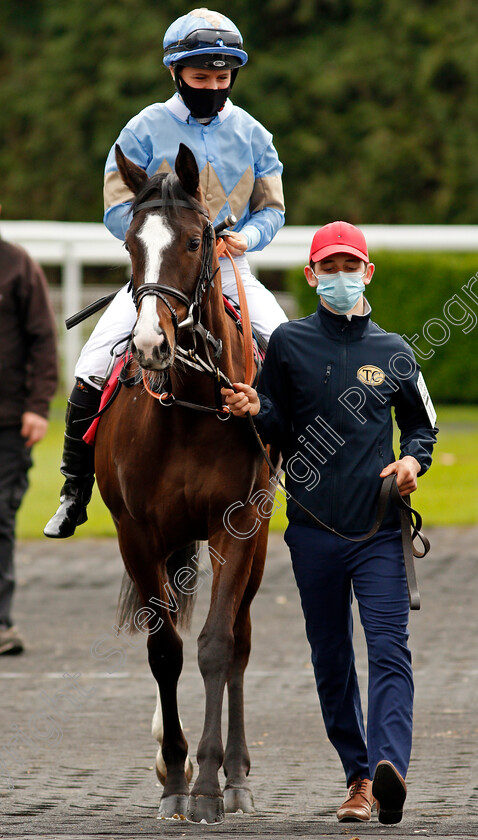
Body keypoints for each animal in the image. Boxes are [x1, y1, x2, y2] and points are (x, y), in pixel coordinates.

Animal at [94, 143, 272, 820]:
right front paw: (175, 773)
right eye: (130, 243)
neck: (194, 407)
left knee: (241, 638)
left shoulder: (238, 526)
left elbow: (216, 646)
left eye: (197, 241)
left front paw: (209, 782)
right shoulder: (137, 534)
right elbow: (164, 649)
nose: (150, 345)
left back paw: (237, 772)